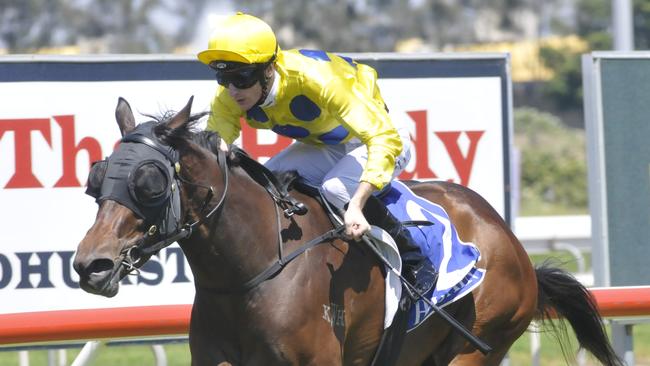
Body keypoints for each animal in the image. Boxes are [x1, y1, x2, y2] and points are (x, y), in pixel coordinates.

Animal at [73, 98, 620, 366]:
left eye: (148, 182)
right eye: (97, 177)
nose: (90, 265)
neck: (251, 271)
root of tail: (509, 240)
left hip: (477, 345)